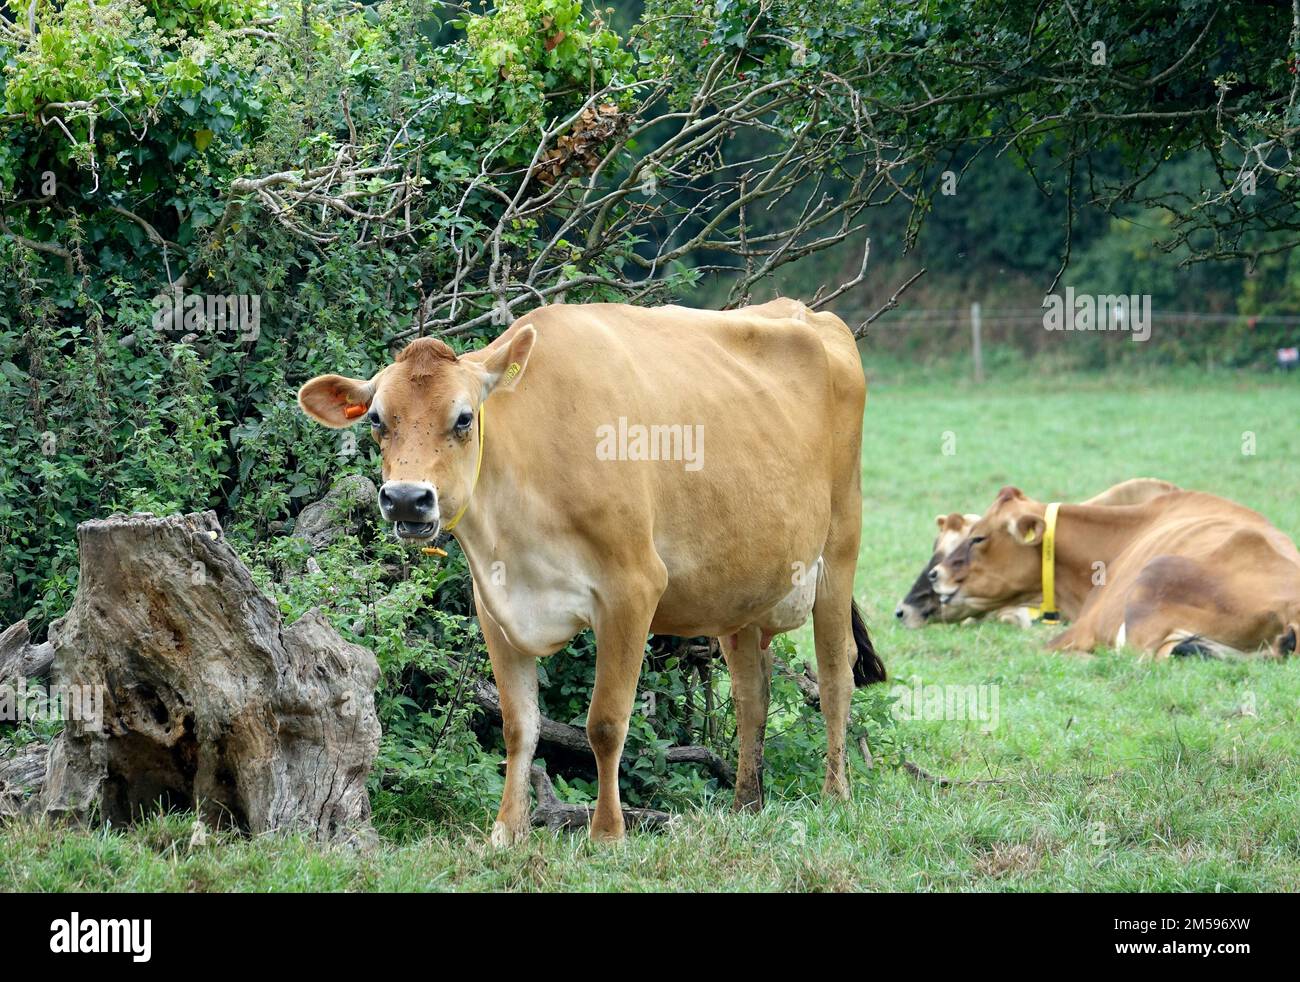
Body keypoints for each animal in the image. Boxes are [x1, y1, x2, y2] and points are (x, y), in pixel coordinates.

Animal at [297, 299, 885, 843]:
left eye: (464, 417)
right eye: (377, 419)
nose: (405, 499)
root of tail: (808, 312)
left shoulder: (633, 587)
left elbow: (604, 722)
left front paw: (607, 832)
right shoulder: (495, 604)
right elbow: (518, 726)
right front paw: (506, 831)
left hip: (840, 547)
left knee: (835, 674)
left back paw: (836, 794)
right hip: (741, 589)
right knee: (750, 692)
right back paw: (746, 803)